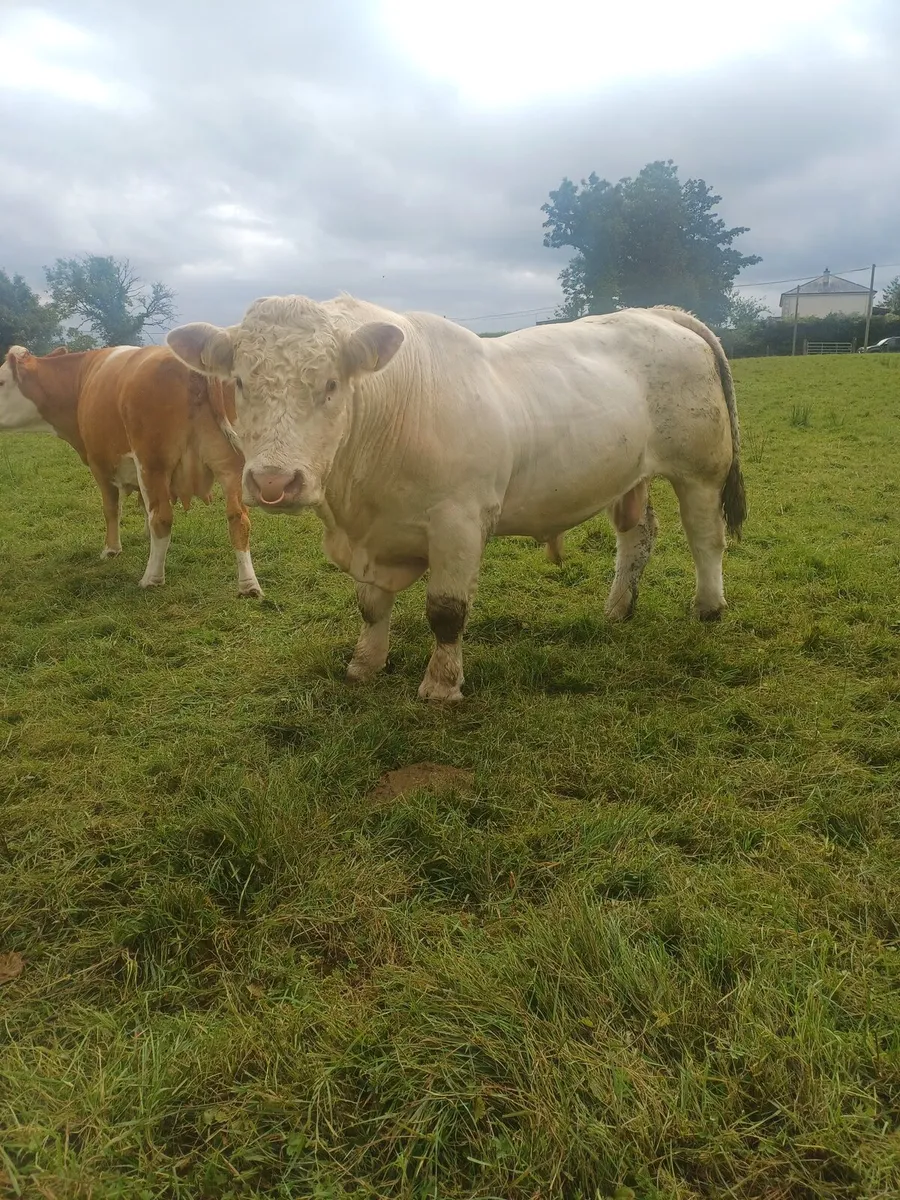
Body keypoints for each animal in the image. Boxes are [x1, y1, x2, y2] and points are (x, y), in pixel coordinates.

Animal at [0, 344, 263, 597]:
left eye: (1, 382)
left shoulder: (101, 466)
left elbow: (112, 509)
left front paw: (111, 549)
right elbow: (144, 509)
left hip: (153, 463)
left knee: (163, 517)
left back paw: (152, 578)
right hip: (231, 466)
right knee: (239, 518)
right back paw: (248, 585)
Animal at [166, 297, 746, 702]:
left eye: (330, 384)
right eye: (240, 383)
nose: (273, 482)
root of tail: (661, 313)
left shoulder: (459, 522)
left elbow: (446, 611)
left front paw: (442, 685)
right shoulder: (372, 537)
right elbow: (370, 606)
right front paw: (365, 664)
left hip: (701, 469)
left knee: (705, 538)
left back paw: (708, 605)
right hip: (629, 474)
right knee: (637, 535)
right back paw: (619, 607)